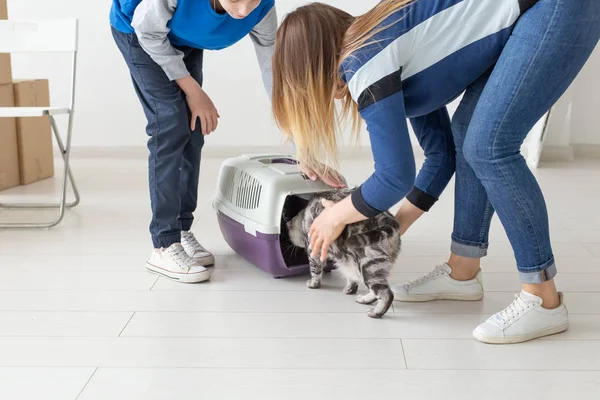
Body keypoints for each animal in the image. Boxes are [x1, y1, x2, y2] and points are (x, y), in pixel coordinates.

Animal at [288, 190, 400, 318]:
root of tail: (389, 221)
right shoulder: (348, 260)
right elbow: (351, 276)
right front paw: (350, 289)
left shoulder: (314, 251)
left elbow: (315, 271)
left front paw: (313, 284)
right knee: (376, 292)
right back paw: (364, 300)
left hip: (369, 266)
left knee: (386, 294)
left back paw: (375, 313)